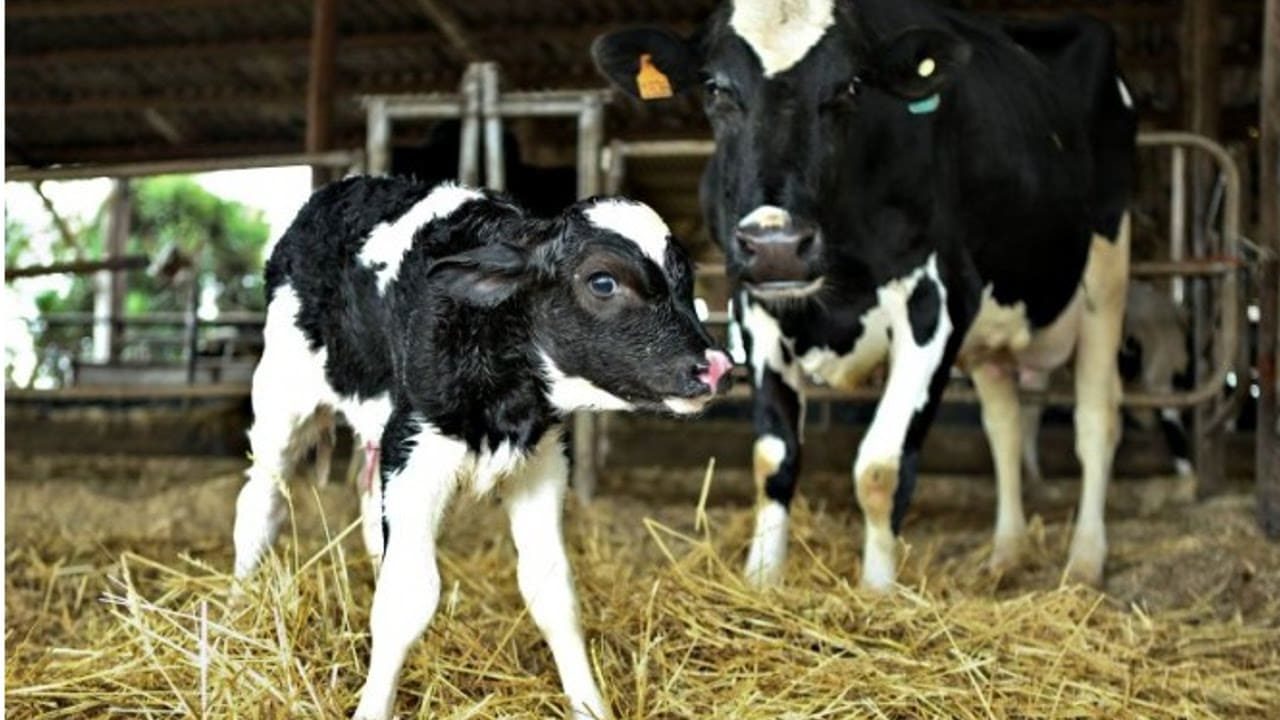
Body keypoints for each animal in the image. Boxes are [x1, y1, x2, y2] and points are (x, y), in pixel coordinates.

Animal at [230, 175, 732, 717]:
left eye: (686, 281)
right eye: (602, 282)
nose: (716, 366)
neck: (506, 398)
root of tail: (342, 187)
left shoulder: (542, 461)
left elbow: (552, 589)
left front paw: (590, 704)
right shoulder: (416, 452)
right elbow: (408, 597)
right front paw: (373, 706)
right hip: (282, 395)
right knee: (260, 505)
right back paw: (237, 609)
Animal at [593, 0, 1136, 589]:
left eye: (851, 86)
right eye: (716, 87)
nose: (777, 245)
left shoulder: (938, 299)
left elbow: (880, 468)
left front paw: (877, 592)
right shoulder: (753, 307)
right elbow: (773, 458)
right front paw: (761, 581)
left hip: (1107, 275)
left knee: (1096, 422)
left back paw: (1084, 562)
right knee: (1004, 424)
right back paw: (1005, 555)